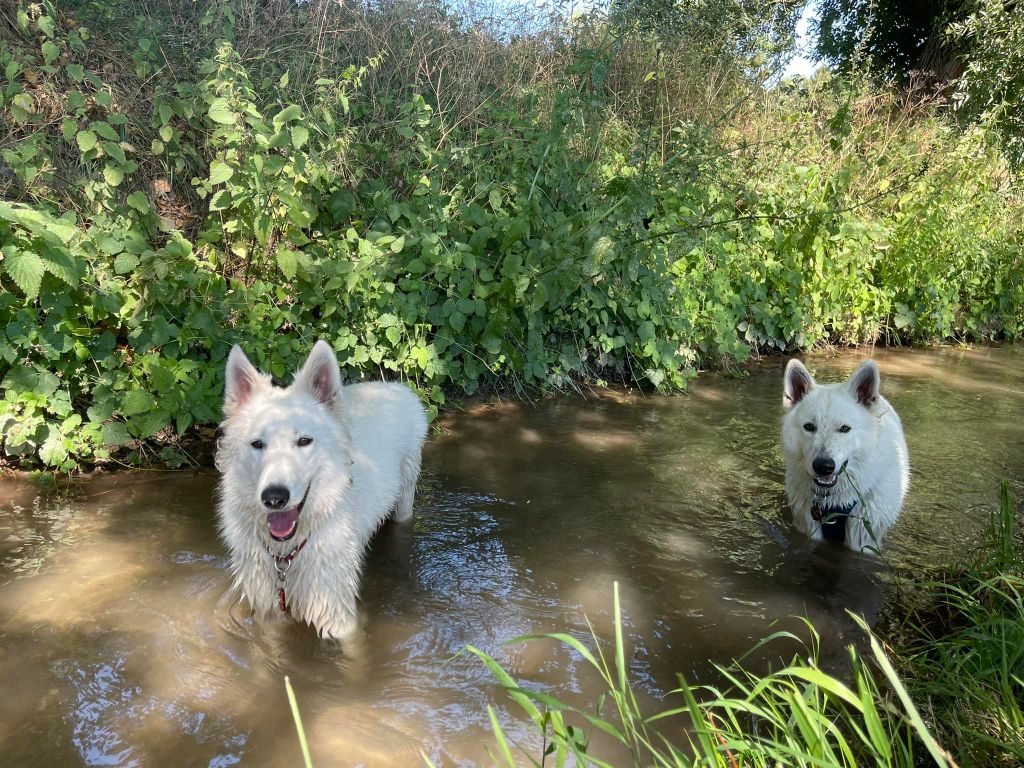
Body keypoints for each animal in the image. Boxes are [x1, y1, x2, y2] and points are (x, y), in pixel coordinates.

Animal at [214, 342, 425, 638]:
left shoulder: (337, 613)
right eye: (257, 444)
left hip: (405, 495)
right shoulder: (269, 613)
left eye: (304, 441)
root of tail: (394, 386)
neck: (286, 556)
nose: (274, 498)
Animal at [782, 360, 913, 552]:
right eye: (809, 427)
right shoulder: (809, 528)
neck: (834, 504)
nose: (823, 466)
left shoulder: (863, 538)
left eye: (845, 428)